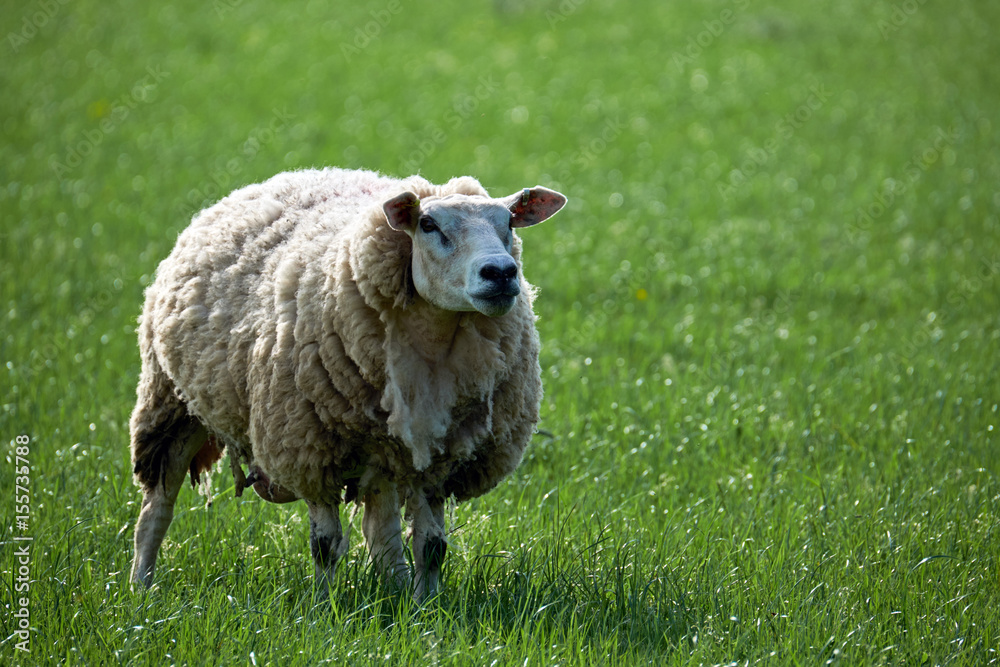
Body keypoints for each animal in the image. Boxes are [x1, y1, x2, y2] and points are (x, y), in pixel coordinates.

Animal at [129, 167, 566, 599]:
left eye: (508, 222)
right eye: (428, 224)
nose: (501, 273)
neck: (434, 345)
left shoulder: (439, 461)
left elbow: (431, 547)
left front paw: (426, 607)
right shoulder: (309, 452)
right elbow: (324, 545)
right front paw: (323, 607)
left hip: (382, 449)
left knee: (382, 526)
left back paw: (396, 590)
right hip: (171, 403)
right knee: (157, 508)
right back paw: (140, 588)